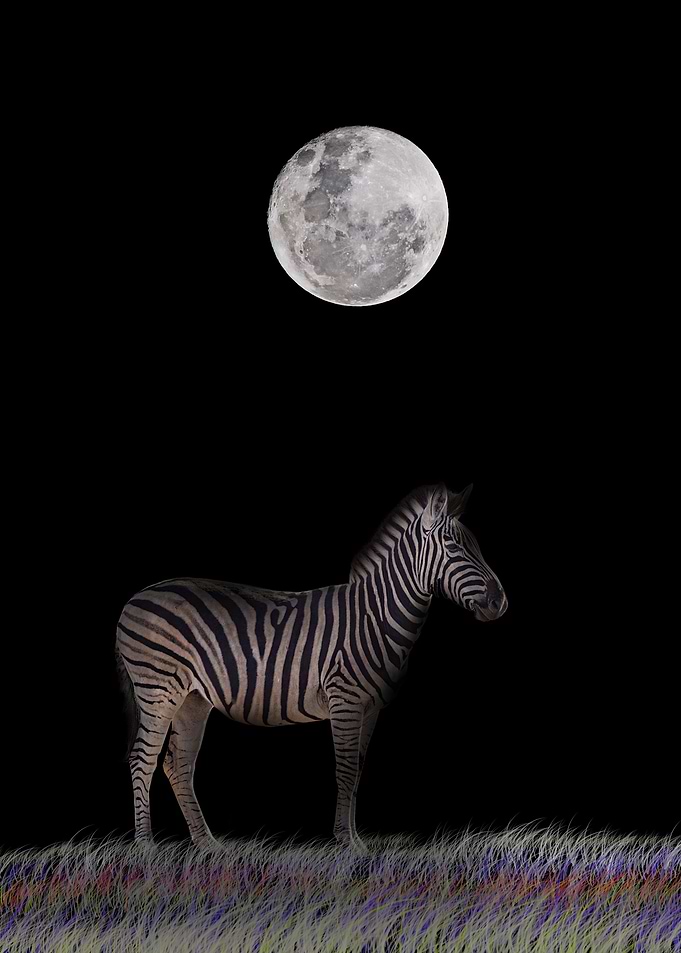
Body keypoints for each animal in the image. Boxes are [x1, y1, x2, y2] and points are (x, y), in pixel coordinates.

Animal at [115, 482, 507, 854]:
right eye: (454, 548)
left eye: (477, 547)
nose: (500, 602)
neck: (375, 617)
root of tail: (135, 598)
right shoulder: (345, 699)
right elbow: (345, 769)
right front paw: (348, 843)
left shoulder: (371, 708)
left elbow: (358, 770)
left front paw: (353, 838)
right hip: (158, 690)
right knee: (143, 759)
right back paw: (146, 846)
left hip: (192, 699)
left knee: (177, 764)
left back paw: (207, 844)